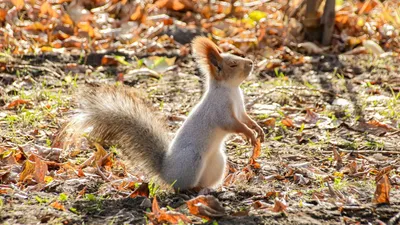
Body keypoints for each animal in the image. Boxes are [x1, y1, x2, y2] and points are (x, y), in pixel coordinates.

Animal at [65, 37, 266, 192]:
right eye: (233, 64)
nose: (251, 63)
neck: (231, 89)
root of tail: (166, 172)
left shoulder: (239, 108)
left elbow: (245, 118)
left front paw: (258, 130)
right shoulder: (220, 111)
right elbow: (233, 125)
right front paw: (249, 134)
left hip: (217, 162)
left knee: (203, 181)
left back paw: (211, 188)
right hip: (192, 160)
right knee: (181, 186)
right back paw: (192, 189)